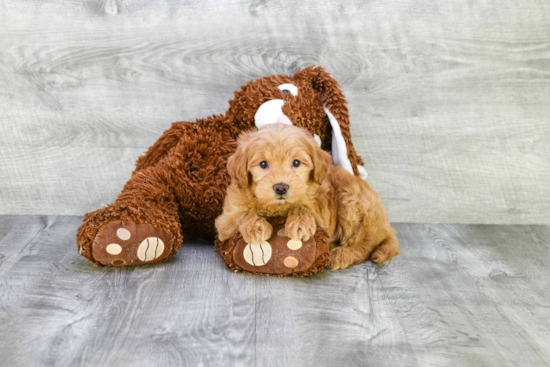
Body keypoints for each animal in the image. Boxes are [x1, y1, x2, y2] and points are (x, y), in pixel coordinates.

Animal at [216, 123, 402, 270]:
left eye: (296, 162)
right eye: (263, 164)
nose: (281, 187)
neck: (277, 207)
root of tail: (387, 225)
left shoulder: (322, 213)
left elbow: (303, 207)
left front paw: (300, 223)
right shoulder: (225, 219)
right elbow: (242, 213)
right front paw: (257, 227)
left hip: (353, 202)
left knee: (363, 248)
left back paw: (342, 255)